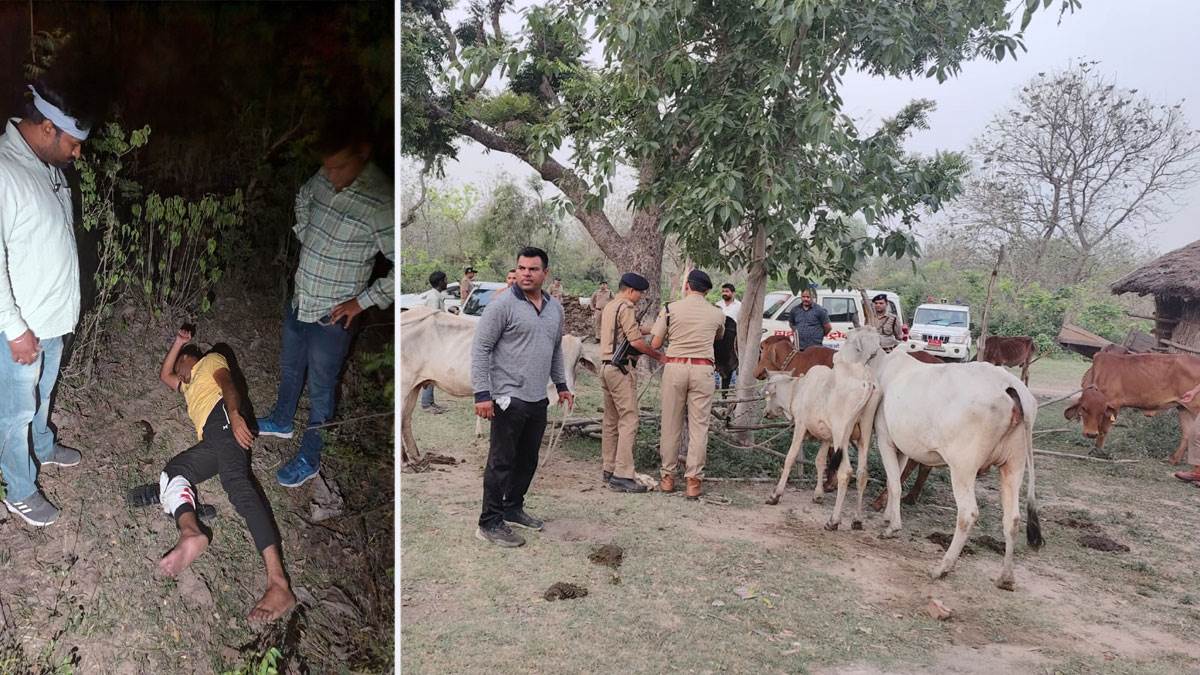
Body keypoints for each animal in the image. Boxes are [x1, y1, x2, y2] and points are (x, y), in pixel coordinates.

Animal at [399, 307, 595, 463]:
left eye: (578, 359)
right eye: (559, 355)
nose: (570, 393)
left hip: (415, 386)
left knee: (406, 419)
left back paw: (414, 457)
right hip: (405, 385)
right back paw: (405, 459)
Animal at [841, 329, 1043, 591]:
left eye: (848, 340)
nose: (835, 358)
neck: (882, 366)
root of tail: (1010, 386)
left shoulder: (885, 439)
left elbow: (894, 484)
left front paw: (892, 527)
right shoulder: (903, 446)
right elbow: (895, 480)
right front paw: (888, 516)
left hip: (963, 467)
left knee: (968, 514)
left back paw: (943, 567)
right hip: (1013, 465)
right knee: (1013, 518)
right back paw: (1006, 577)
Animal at [1064, 352, 1200, 462]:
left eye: (1102, 412)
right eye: (1083, 408)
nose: (1091, 434)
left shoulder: (1114, 405)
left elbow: (1103, 430)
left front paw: (1098, 452)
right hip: (1183, 408)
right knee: (1187, 434)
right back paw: (1173, 460)